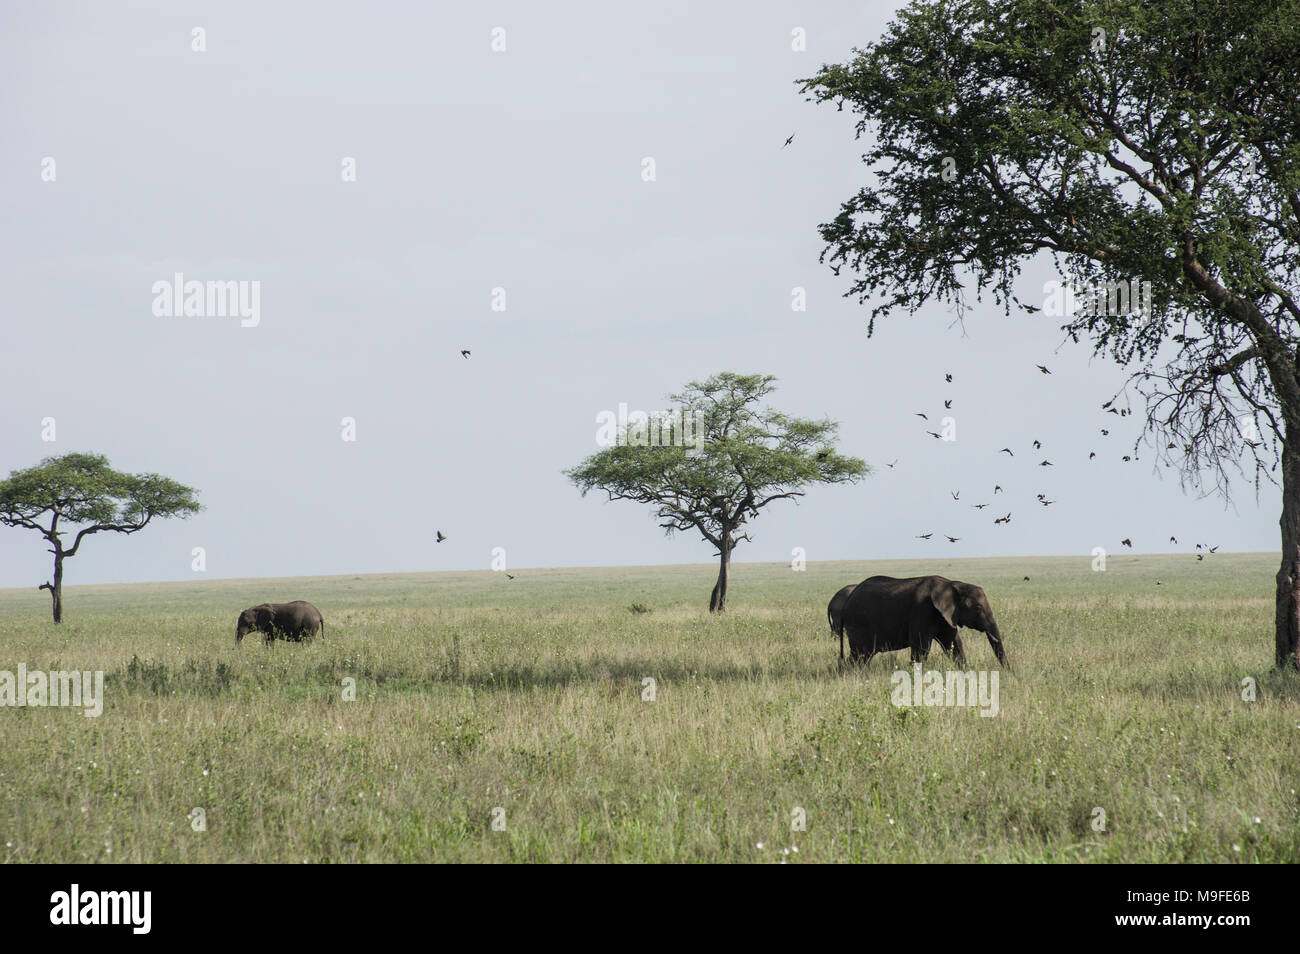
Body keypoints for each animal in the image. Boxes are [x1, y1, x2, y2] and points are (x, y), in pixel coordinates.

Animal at [837, 579, 1008, 670]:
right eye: (978, 608)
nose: (1009, 672)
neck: (952, 584)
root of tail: (846, 602)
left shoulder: (946, 616)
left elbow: (955, 645)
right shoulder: (922, 611)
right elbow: (921, 648)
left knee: (863, 656)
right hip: (858, 624)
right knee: (860, 654)